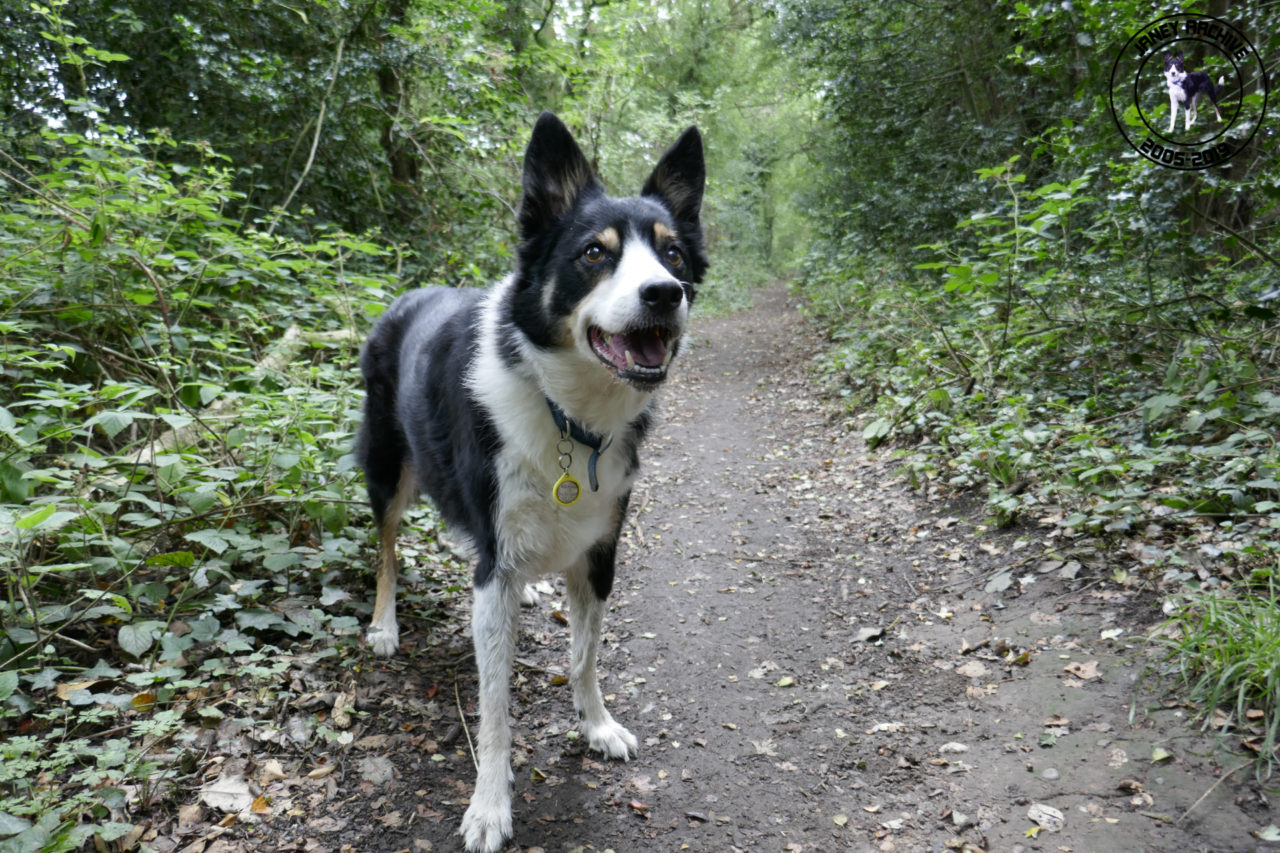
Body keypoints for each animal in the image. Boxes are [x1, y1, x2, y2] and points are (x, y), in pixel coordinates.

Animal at [355, 112, 706, 850]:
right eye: (594, 253)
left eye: (673, 256)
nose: (664, 293)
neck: (569, 411)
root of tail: (408, 292)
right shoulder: (496, 569)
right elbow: (494, 706)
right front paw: (490, 804)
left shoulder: (600, 550)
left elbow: (585, 654)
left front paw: (596, 725)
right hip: (389, 471)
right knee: (387, 546)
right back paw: (384, 623)